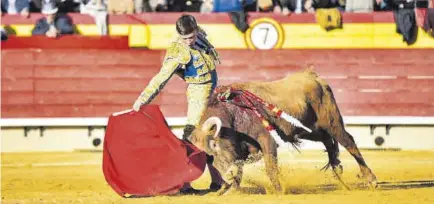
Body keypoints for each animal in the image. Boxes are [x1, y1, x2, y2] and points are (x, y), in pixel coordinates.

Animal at [190, 68, 376, 194]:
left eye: (215, 144)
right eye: (208, 158)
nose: (227, 175)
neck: (234, 112)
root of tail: (313, 76)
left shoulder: (267, 140)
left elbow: (270, 167)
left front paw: (279, 190)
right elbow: (240, 171)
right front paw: (229, 190)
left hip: (332, 122)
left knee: (348, 142)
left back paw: (370, 179)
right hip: (309, 130)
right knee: (327, 141)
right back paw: (337, 169)